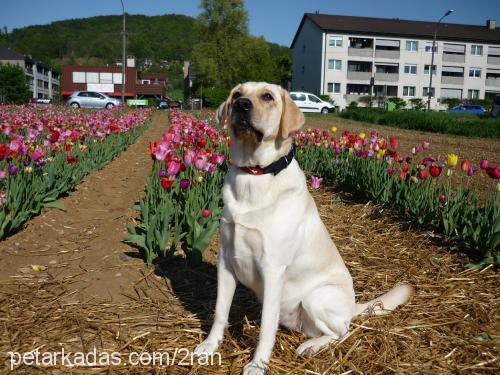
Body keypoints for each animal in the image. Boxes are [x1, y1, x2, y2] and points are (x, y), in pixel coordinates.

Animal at [193, 83, 412, 375]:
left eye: (267, 96)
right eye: (237, 93)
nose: (241, 105)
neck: (255, 174)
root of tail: (353, 305)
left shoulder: (273, 269)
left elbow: (266, 328)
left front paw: (257, 364)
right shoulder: (226, 261)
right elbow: (220, 311)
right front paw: (209, 346)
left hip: (316, 298)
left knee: (342, 331)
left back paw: (310, 347)